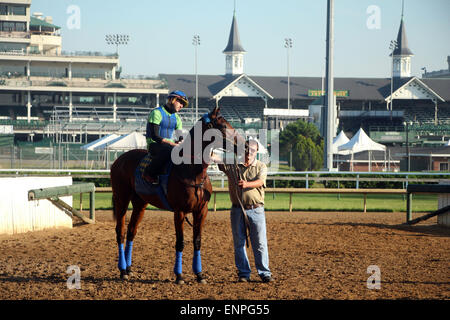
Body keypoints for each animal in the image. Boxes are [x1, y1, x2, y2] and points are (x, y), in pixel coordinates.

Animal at [110, 106, 246, 284]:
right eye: (223, 126)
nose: (244, 144)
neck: (192, 170)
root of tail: (119, 160)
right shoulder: (179, 211)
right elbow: (180, 242)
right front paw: (179, 275)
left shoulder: (201, 211)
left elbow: (197, 241)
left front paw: (199, 275)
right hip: (122, 199)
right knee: (120, 231)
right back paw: (122, 271)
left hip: (140, 204)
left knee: (132, 231)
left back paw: (128, 269)